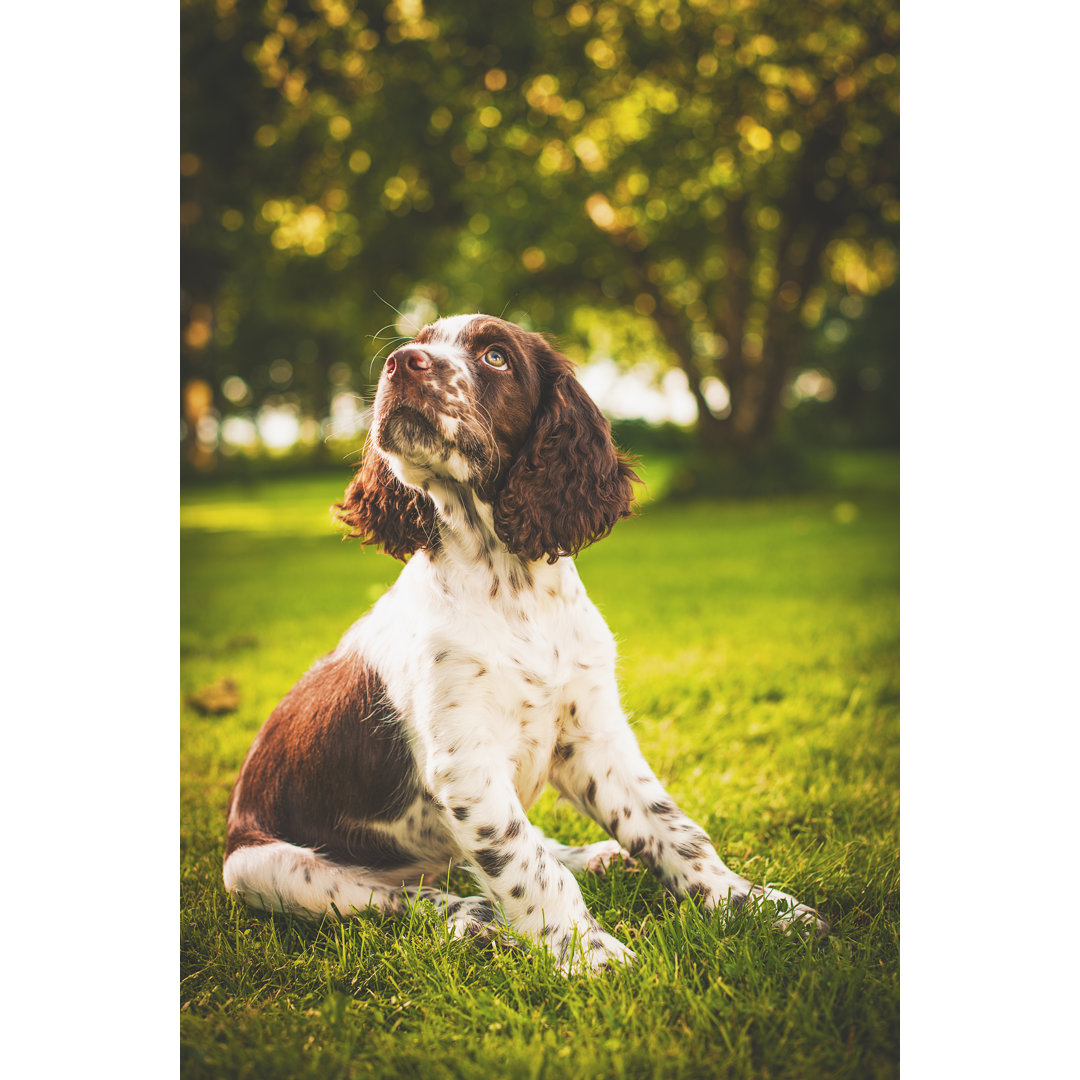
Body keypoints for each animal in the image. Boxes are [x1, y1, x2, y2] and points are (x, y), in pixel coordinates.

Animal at [221, 315, 825, 976]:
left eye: (495, 357)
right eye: (419, 340)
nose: (401, 361)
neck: (510, 583)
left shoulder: (591, 735)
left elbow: (670, 827)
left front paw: (755, 906)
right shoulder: (466, 761)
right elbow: (523, 862)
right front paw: (591, 957)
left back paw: (591, 856)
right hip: (259, 868)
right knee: (406, 896)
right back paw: (476, 921)